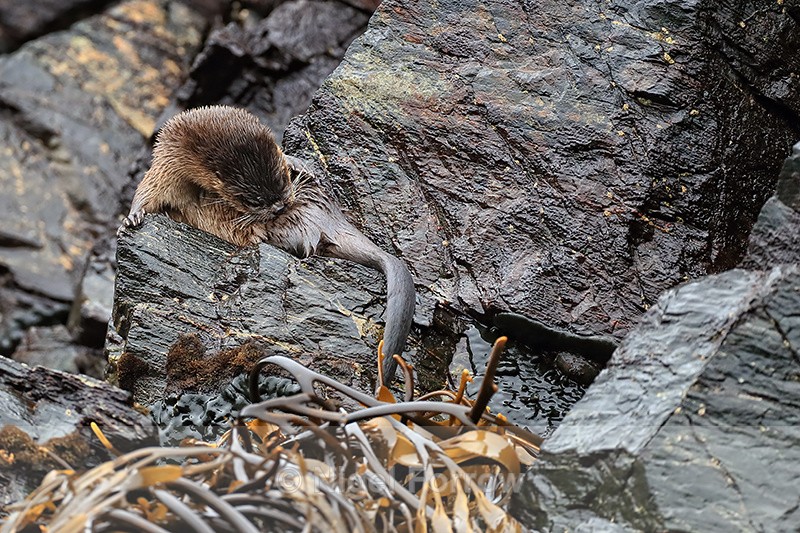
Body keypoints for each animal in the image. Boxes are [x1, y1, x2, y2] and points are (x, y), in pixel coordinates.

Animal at [120, 106, 414, 385]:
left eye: (283, 179)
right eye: (254, 200)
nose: (280, 206)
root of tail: (328, 218)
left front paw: (297, 163)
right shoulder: (167, 164)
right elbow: (149, 190)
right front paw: (132, 216)